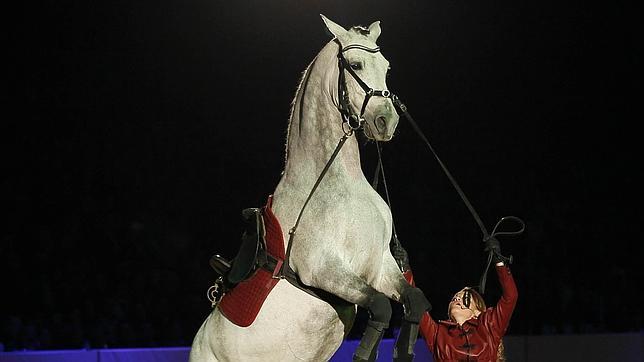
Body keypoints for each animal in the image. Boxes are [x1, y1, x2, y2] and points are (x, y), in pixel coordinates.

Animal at [189, 14, 430, 362]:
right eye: (355, 64)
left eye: (386, 66)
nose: (387, 121)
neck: (338, 185)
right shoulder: (323, 270)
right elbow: (382, 308)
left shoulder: (381, 266)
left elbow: (415, 301)